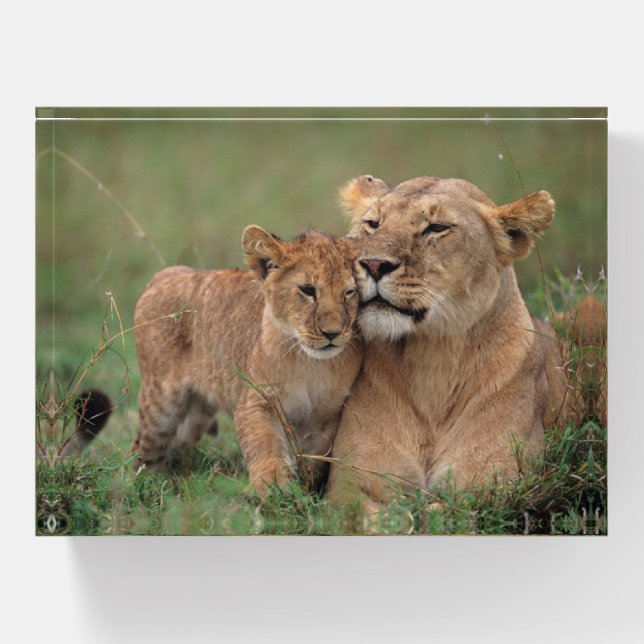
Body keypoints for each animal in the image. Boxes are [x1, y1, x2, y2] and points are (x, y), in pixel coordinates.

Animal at [132, 226, 363, 493]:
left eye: (349, 292)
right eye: (307, 290)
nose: (332, 333)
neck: (311, 363)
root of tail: (164, 274)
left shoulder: (326, 418)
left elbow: (313, 461)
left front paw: (304, 489)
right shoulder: (257, 400)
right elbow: (265, 443)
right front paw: (272, 483)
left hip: (198, 412)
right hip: (160, 404)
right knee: (142, 448)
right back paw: (140, 483)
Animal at [325, 175, 562, 509]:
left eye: (436, 228)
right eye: (373, 224)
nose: (372, 264)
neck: (433, 358)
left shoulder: (496, 484)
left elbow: (434, 513)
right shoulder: (349, 483)